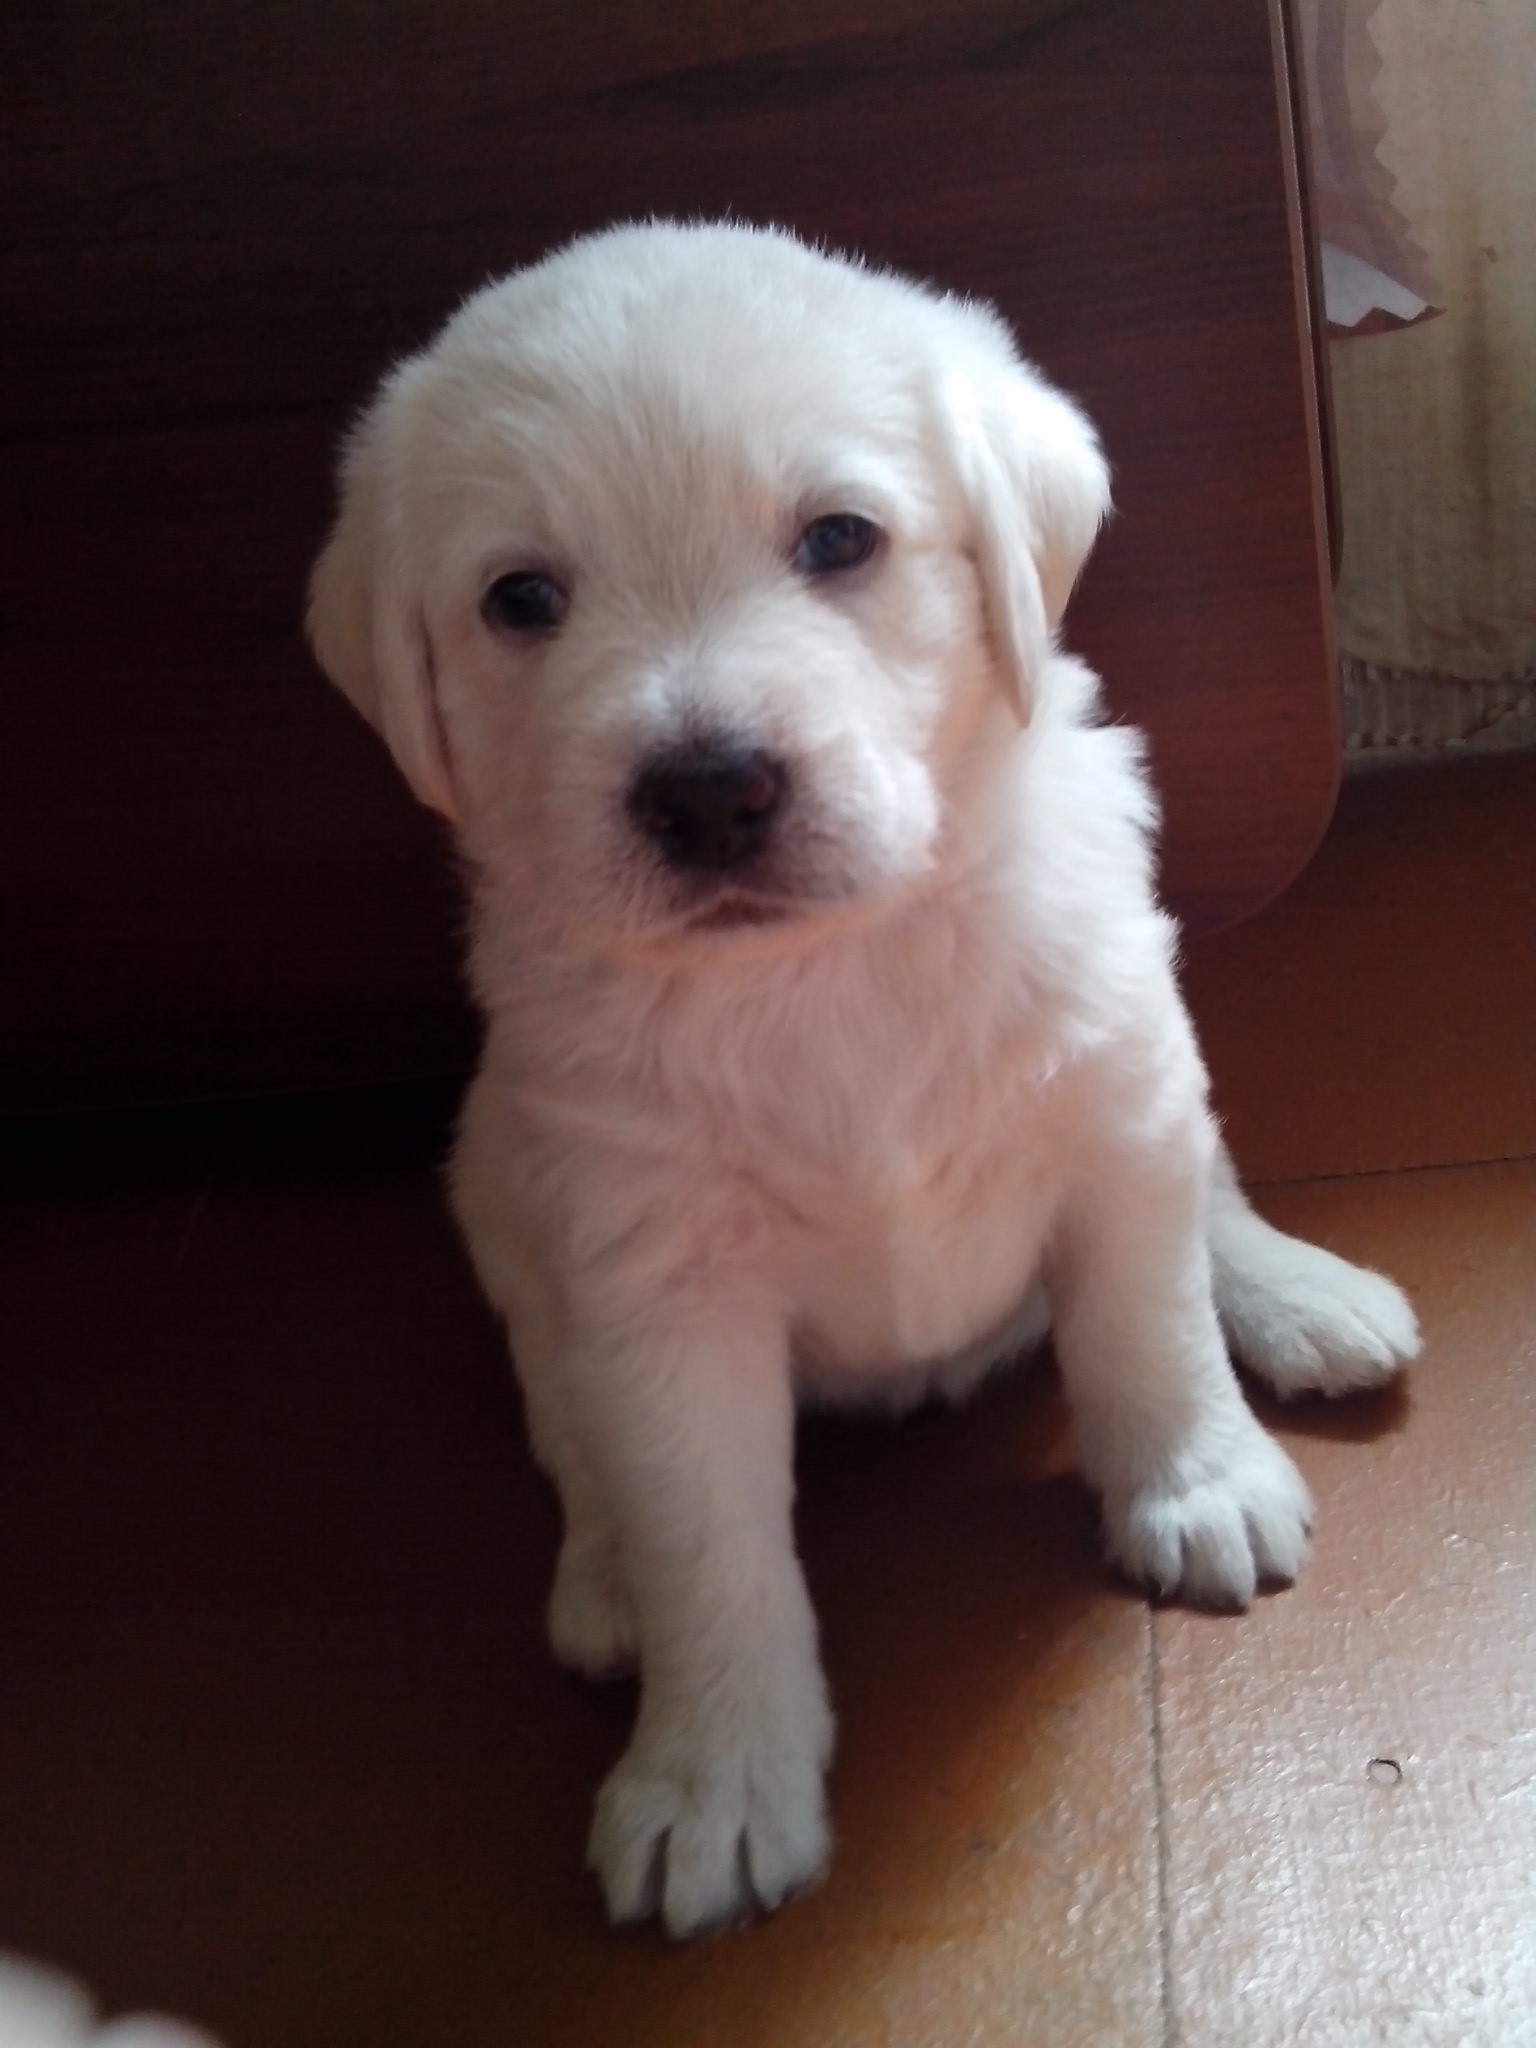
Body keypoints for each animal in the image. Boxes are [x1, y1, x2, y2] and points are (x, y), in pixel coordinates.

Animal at [307, 221, 1420, 1938]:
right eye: (521, 598)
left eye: (840, 539)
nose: (709, 790)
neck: (825, 967)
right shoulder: (652, 1274)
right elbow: (709, 1547)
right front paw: (712, 1776)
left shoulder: (1108, 1090)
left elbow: (1146, 1320)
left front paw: (1197, 1477)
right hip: (497, 1191)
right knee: (570, 1427)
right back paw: (604, 1583)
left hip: (1150, 1043)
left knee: (1204, 1192)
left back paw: (1297, 1294)